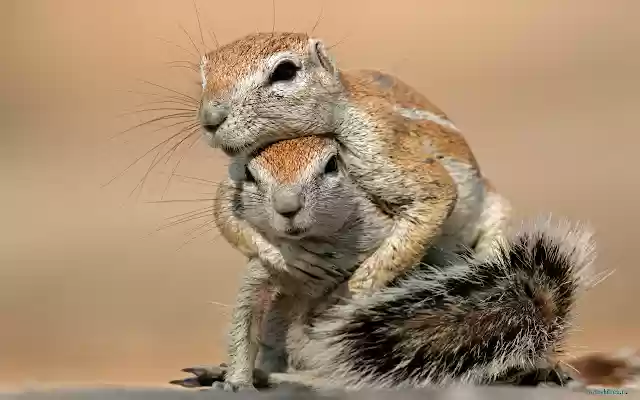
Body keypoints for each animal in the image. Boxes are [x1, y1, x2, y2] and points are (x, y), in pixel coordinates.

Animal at [171, 135, 595, 392]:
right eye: (249, 173)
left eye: (331, 165)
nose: (287, 207)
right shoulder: (262, 270)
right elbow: (244, 324)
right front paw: (237, 379)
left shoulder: (388, 245)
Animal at [197, 31, 512, 296]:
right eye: (203, 76)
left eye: (285, 71)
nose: (209, 119)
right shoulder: (239, 163)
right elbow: (224, 213)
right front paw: (291, 256)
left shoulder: (376, 139)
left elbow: (436, 193)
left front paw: (359, 287)